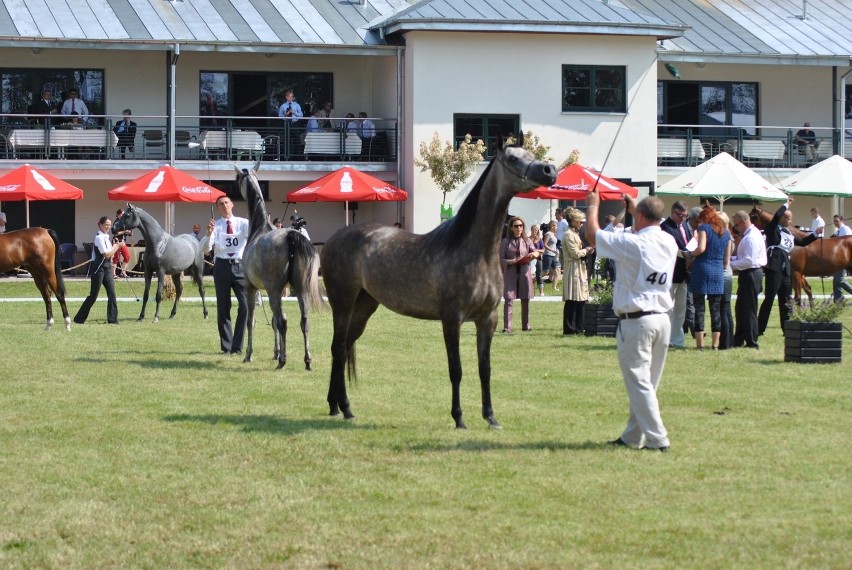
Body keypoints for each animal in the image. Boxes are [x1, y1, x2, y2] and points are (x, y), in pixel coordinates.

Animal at [235, 164, 324, 368]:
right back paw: (307, 360)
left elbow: (252, 321)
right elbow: (273, 322)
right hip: (301, 289)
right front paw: (275, 352)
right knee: (304, 321)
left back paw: (283, 360)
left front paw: (249, 355)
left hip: (274, 289)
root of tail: (291, 236)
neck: (260, 228)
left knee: (283, 321)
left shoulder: (251, 287)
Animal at [322, 134, 556, 426]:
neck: (474, 250)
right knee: (339, 347)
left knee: (344, 348)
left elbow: (485, 369)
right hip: (342, 303)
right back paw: (341, 406)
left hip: (365, 305)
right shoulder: (452, 319)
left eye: (532, 154)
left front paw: (491, 417)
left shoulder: (487, 319)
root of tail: (333, 239)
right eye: (513, 158)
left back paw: (339, 407)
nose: (550, 171)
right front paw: (459, 418)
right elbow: (456, 369)